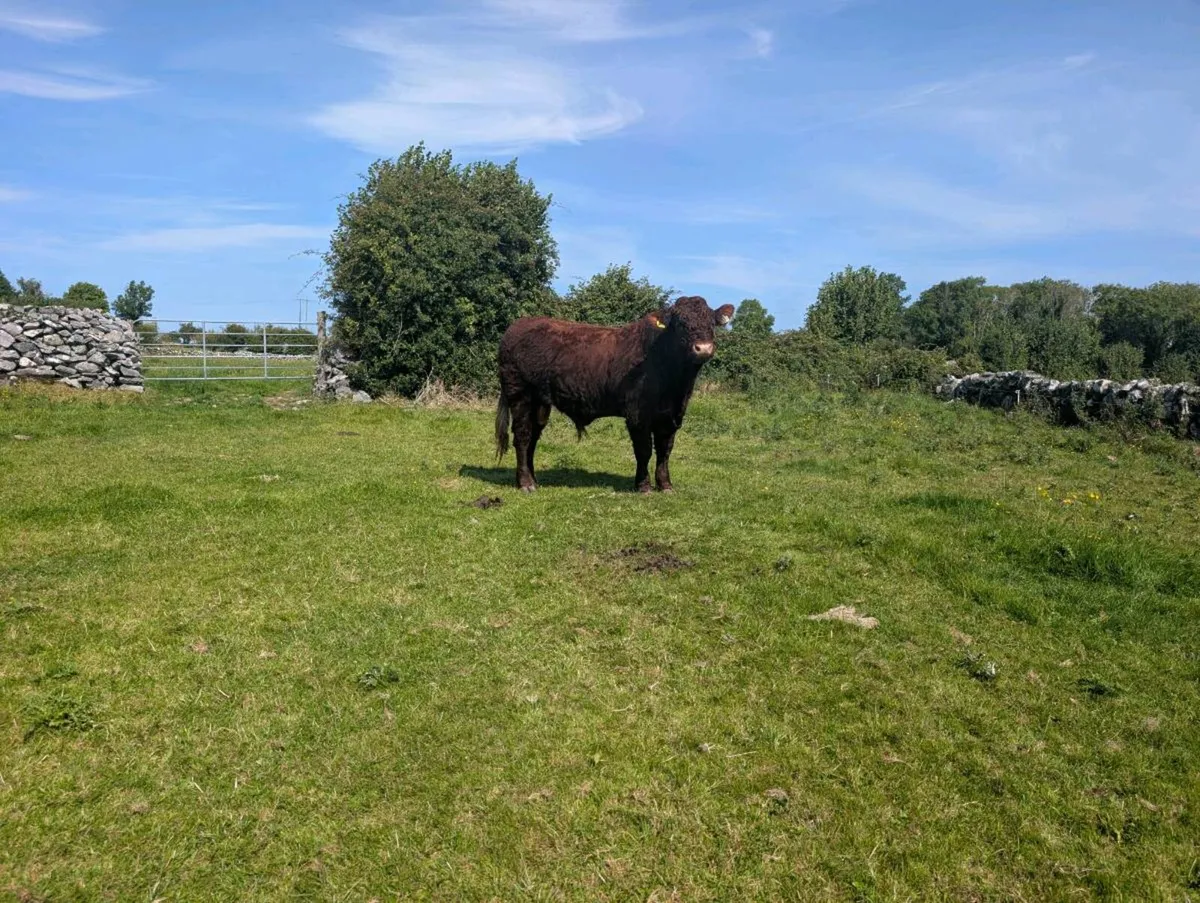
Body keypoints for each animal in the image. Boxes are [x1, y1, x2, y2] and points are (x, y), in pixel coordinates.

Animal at [494, 295, 736, 493]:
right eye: (680, 323)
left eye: (711, 323)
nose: (703, 348)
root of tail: (517, 325)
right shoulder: (637, 414)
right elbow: (644, 450)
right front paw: (644, 486)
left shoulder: (672, 415)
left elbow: (665, 450)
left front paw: (666, 485)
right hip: (519, 394)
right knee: (523, 436)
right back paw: (525, 484)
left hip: (541, 403)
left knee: (534, 436)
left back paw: (534, 479)